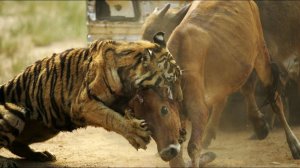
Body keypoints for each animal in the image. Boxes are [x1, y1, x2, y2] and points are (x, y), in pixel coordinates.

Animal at [0, 31, 180, 167]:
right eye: (171, 80)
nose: (179, 100)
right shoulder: (83, 104)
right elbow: (112, 118)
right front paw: (136, 134)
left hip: (47, 128)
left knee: (15, 144)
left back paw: (41, 155)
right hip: (16, 112)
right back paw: (6, 162)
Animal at [141, 0, 300, 167]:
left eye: (152, 31)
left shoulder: (198, 110)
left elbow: (193, 147)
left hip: (261, 53)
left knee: (274, 97)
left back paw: (293, 144)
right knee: (248, 87)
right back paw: (260, 125)